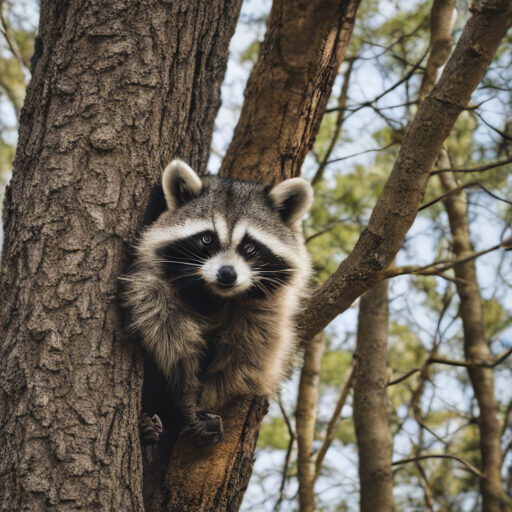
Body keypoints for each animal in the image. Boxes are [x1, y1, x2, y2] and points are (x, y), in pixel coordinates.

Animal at [124, 160, 312, 444]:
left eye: (250, 247)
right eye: (206, 239)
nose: (227, 274)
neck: (213, 295)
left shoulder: (264, 310)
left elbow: (246, 356)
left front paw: (206, 399)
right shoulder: (150, 282)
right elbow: (170, 336)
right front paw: (188, 393)